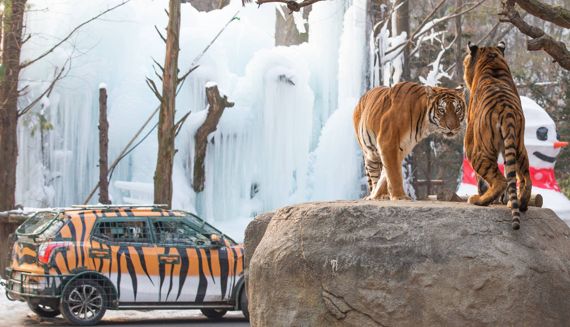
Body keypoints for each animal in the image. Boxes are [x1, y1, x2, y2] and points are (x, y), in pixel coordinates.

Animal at [462, 41, 532, 231]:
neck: (492, 60)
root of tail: (506, 111)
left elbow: (481, 180)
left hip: (477, 152)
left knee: (500, 180)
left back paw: (479, 200)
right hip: (519, 147)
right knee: (525, 178)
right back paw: (521, 204)